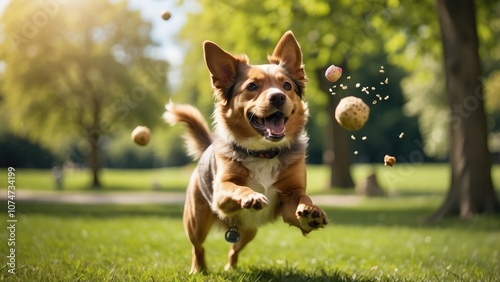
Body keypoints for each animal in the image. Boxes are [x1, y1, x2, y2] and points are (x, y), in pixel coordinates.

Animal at [164, 30, 328, 274]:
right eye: (251, 87)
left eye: (287, 86)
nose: (278, 96)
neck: (264, 153)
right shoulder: (221, 192)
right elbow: (237, 187)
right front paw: (251, 196)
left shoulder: (290, 197)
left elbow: (302, 197)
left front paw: (311, 213)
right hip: (195, 221)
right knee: (198, 247)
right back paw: (198, 269)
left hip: (249, 231)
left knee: (234, 249)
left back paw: (230, 268)